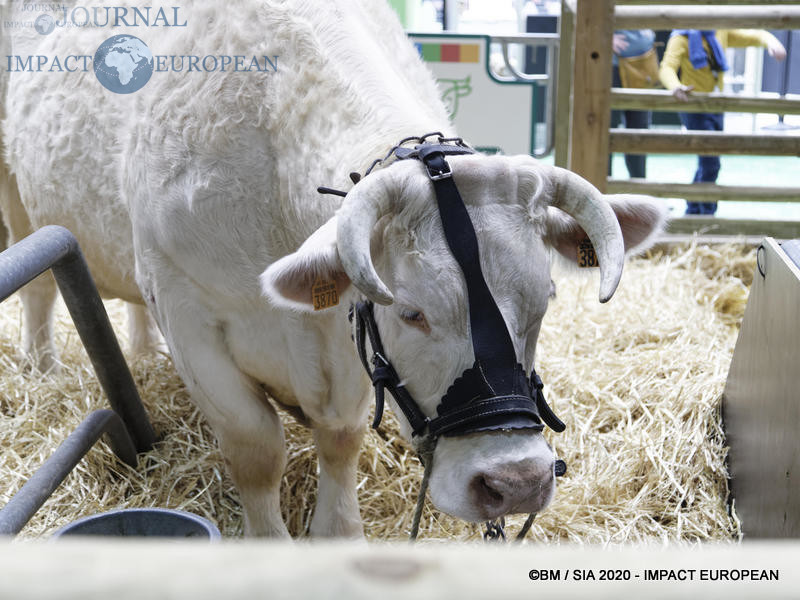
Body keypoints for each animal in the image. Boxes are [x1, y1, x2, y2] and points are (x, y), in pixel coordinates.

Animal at [0, 0, 664, 536]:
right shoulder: (187, 311)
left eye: (544, 301)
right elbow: (255, 448)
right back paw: (41, 366)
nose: (517, 481)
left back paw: (141, 353)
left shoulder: (347, 345)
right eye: (411, 312)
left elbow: (340, 438)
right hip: (22, 204)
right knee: (39, 290)